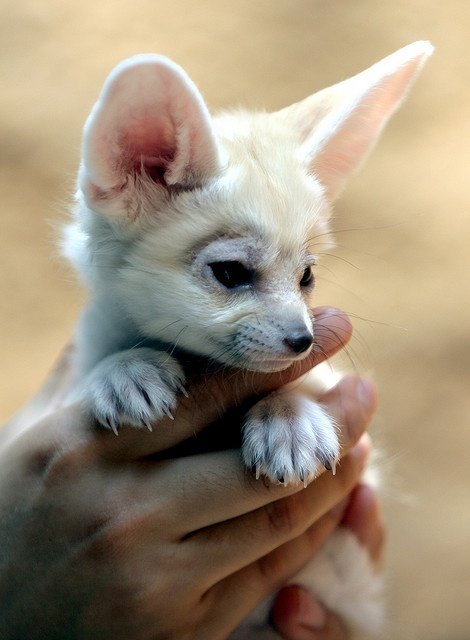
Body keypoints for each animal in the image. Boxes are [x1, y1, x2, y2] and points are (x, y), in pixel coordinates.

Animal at [63, 41, 433, 636]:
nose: (304, 340)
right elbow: (103, 360)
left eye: (307, 276)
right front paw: (125, 370)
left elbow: (297, 386)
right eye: (231, 272)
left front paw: (288, 417)